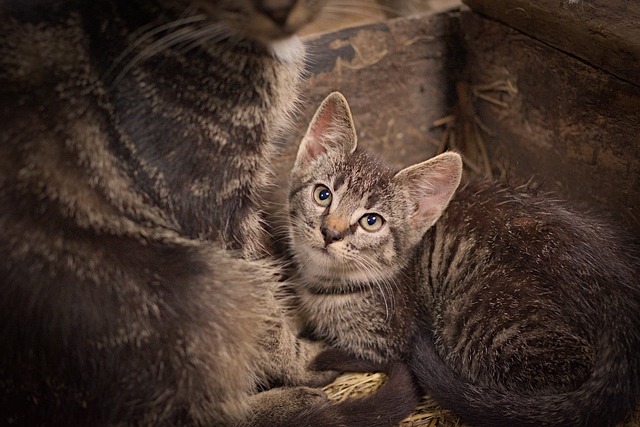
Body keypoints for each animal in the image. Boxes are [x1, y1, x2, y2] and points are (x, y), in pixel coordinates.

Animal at [290, 92, 640, 426]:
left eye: (371, 221)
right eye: (323, 194)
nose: (330, 232)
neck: (327, 282)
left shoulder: (386, 340)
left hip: (468, 319)